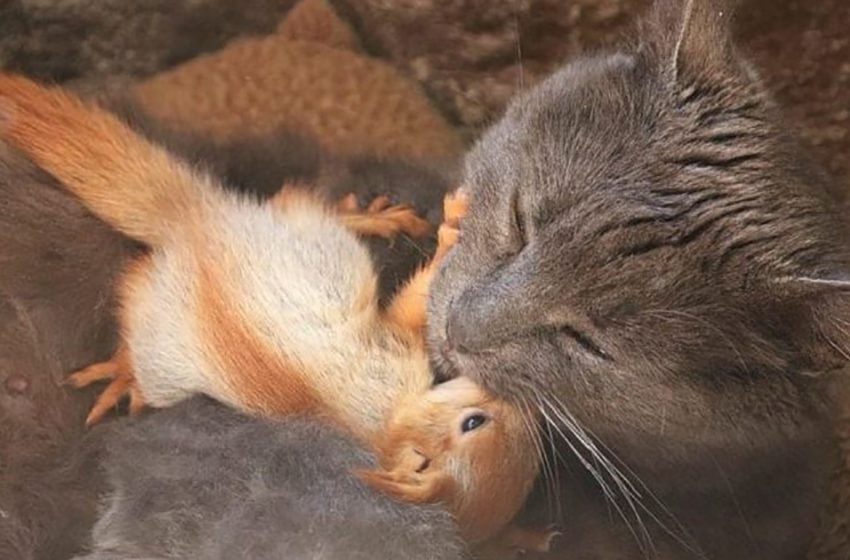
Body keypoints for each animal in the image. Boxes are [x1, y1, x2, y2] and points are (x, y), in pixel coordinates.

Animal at [0, 74, 556, 556]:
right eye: (473, 422)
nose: (523, 401)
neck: (387, 427)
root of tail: (194, 221)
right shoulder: (392, 355)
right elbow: (410, 307)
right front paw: (446, 237)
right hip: (316, 249)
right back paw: (378, 216)